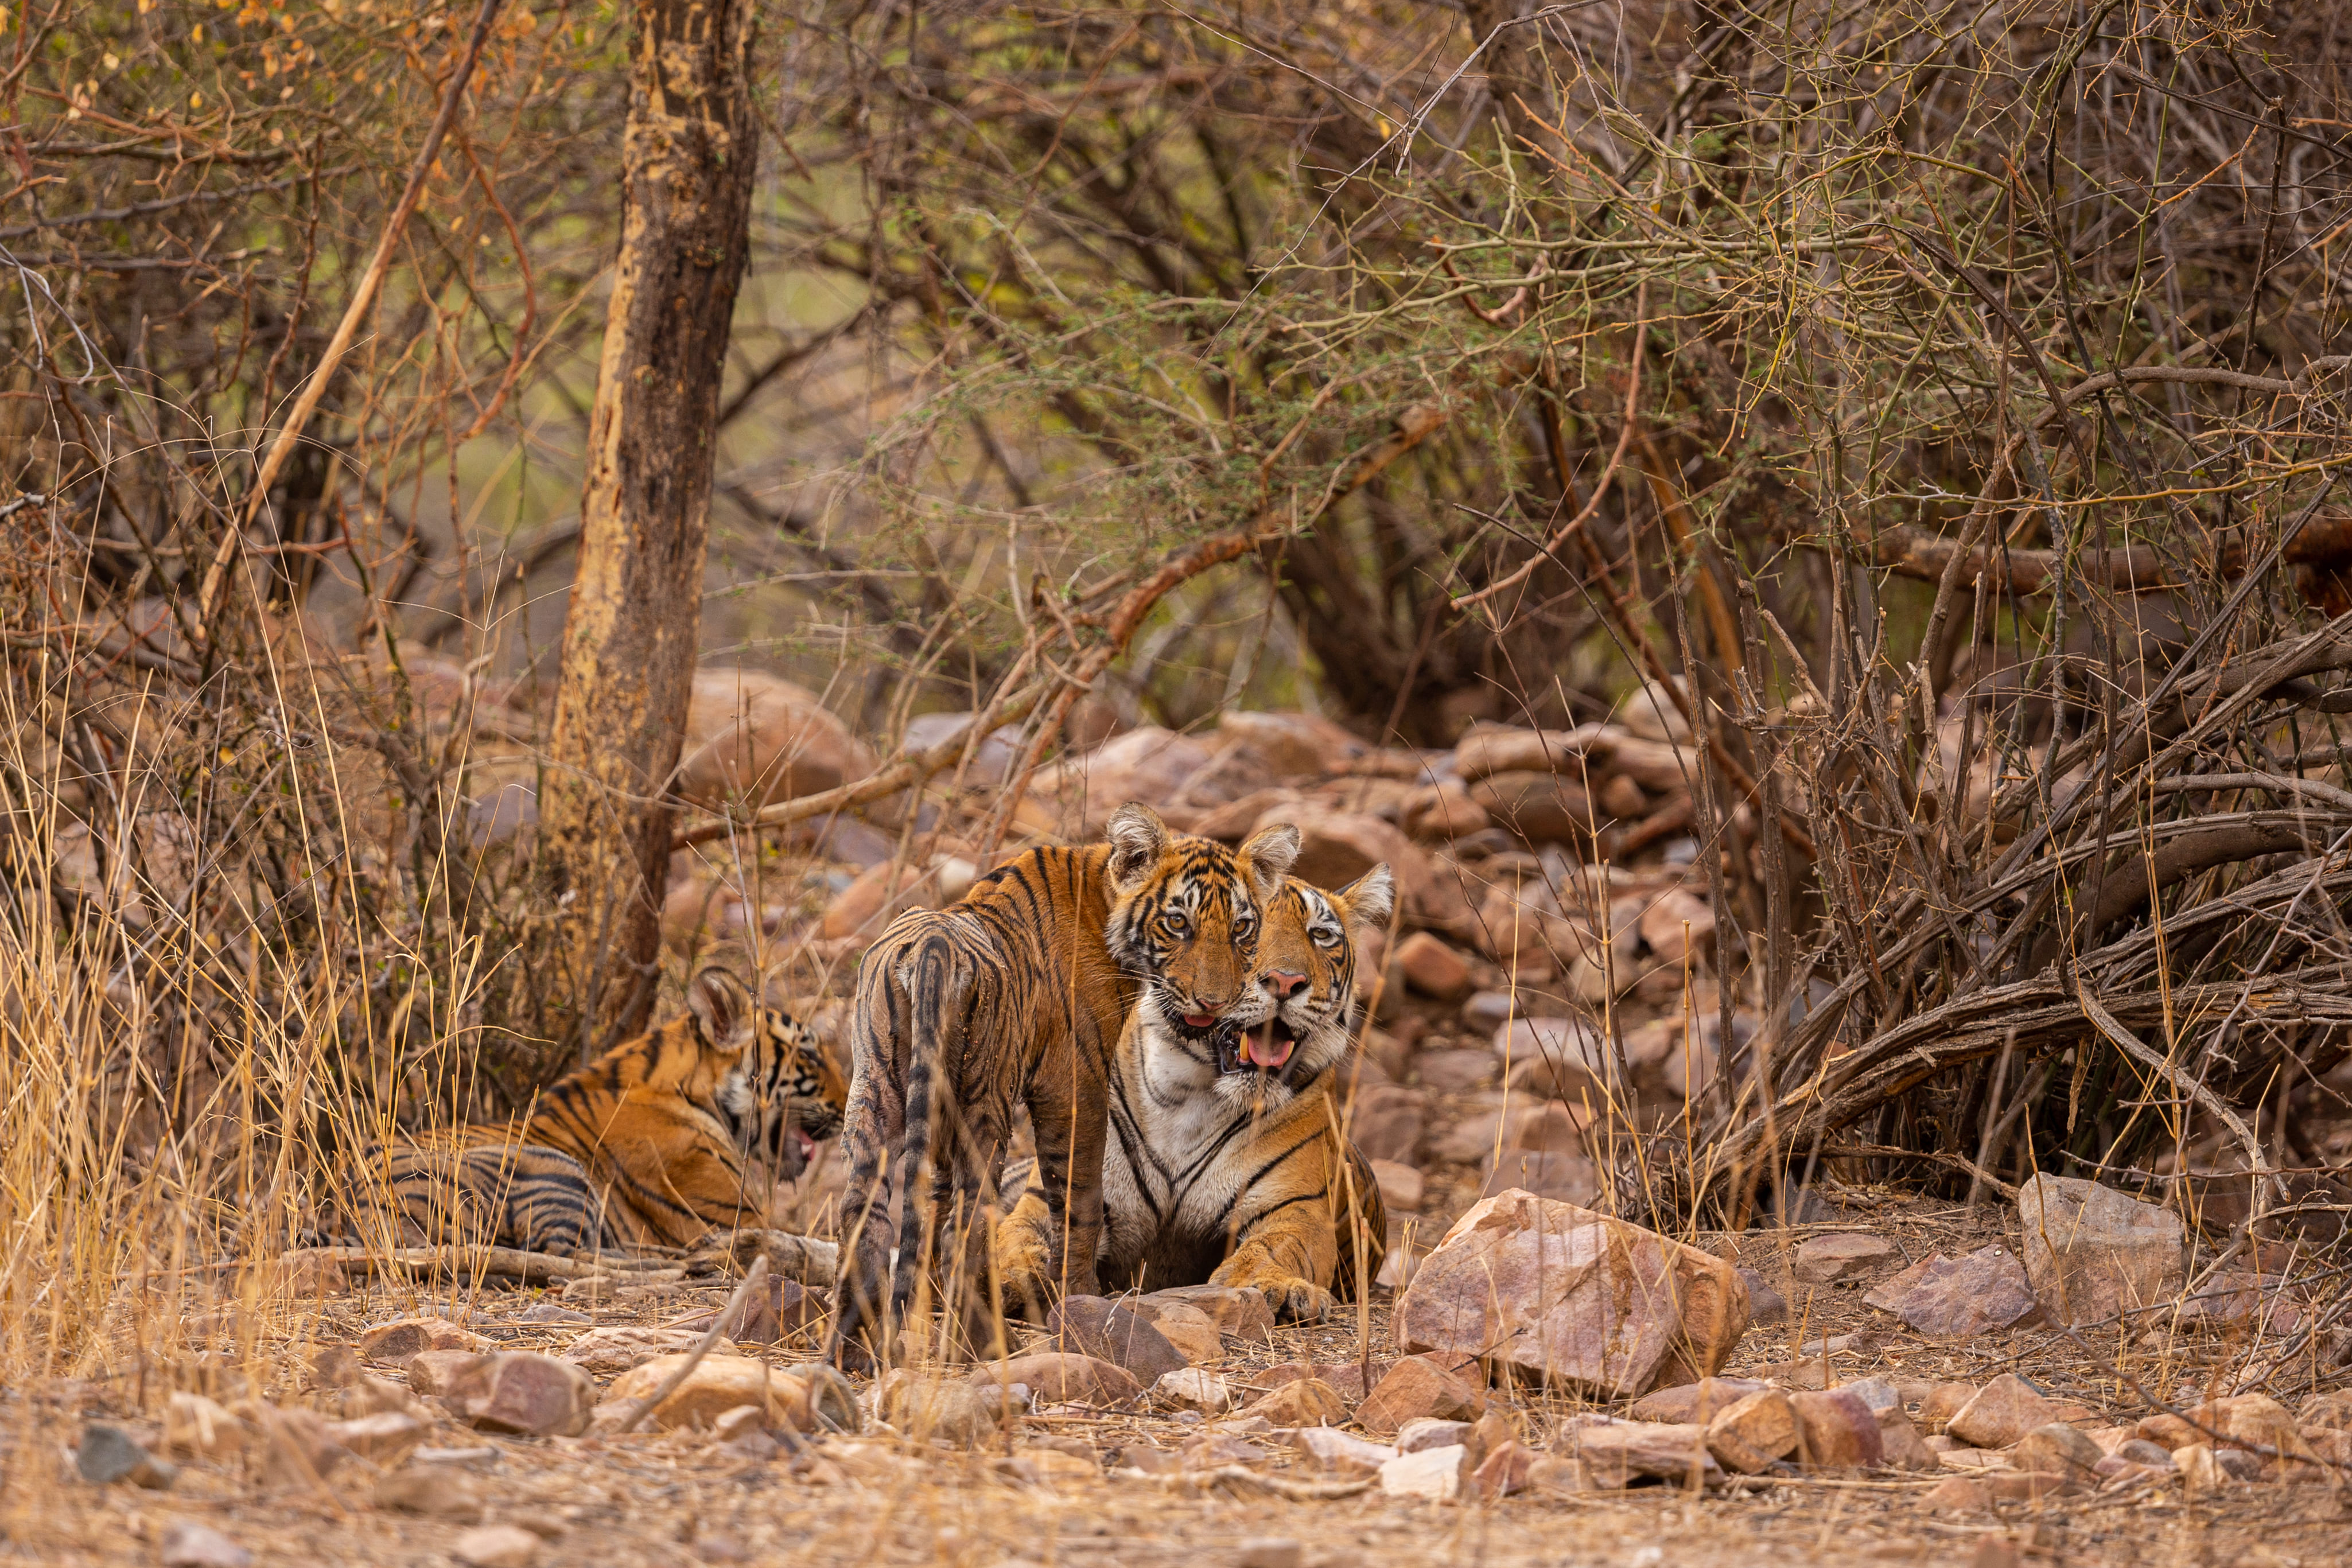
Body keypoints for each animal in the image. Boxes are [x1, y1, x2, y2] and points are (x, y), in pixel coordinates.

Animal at [826, 802, 1300, 1371]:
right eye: (1177, 922)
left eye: (1241, 928)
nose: (1214, 1002)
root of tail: (932, 948)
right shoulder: (1074, 1081)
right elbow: (1079, 1198)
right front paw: (1081, 1298)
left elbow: (932, 1199)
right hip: (986, 1103)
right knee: (964, 1226)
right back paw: (983, 1349)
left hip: (876, 1094)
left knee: (863, 1216)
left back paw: (849, 1354)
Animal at [994, 865, 1394, 1323]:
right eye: (1241, 926)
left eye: (1320, 934)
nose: (1285, 981)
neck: (1193, 1097)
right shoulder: (1049, 1200)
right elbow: (1016, 1240)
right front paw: (1008, 1279)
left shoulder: (1296, 1209)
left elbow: (1274, 1247)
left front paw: (1274, 1287)